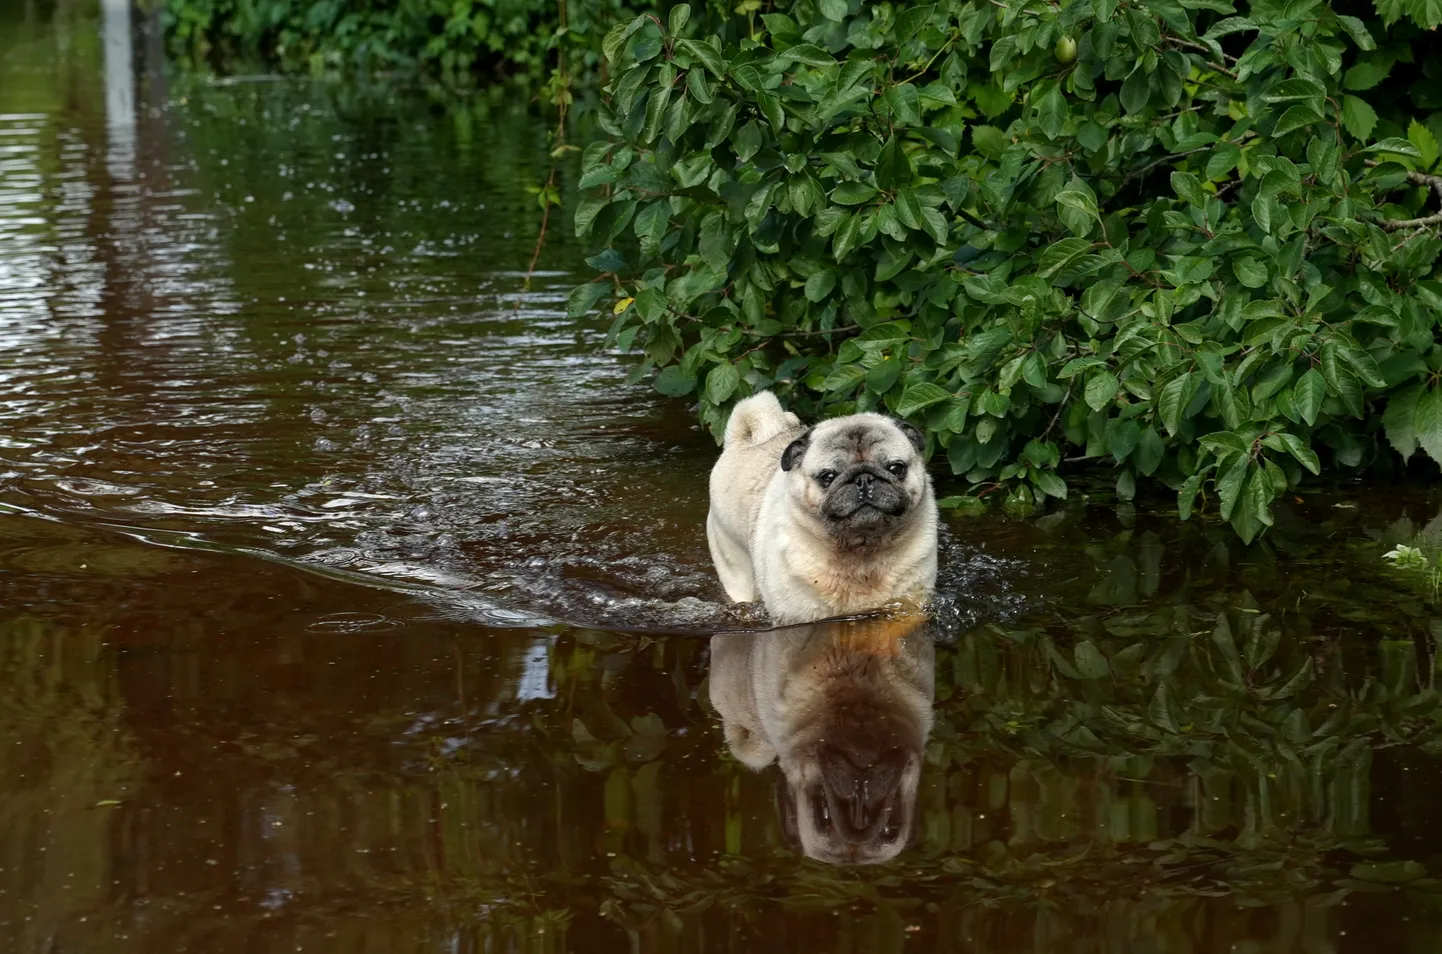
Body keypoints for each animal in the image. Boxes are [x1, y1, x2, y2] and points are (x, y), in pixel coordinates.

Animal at [706, 389, 934, 628]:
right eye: (828, 477)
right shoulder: (796, 617)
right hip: (735, 570)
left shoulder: (907, 605)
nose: (863, 478)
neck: (861, 556)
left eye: (896, 468)